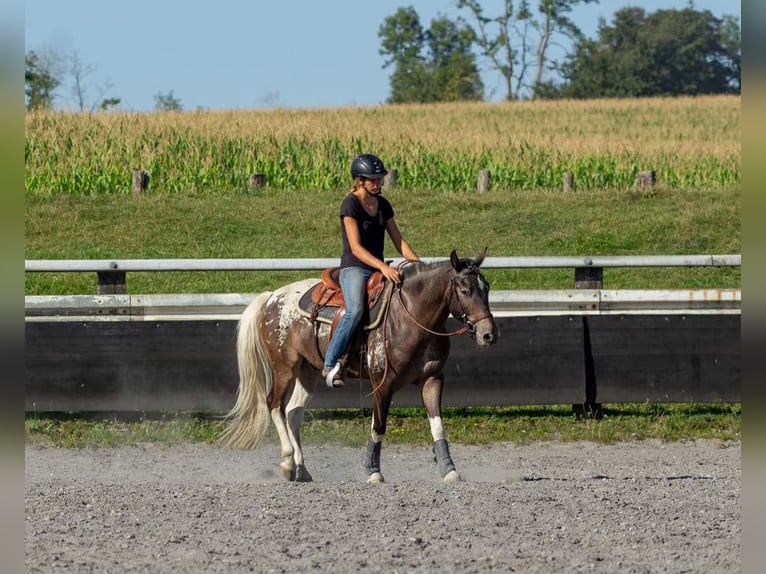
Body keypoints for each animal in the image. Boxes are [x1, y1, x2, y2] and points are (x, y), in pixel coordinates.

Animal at [219, 250, 500, 484]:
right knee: (274, 404)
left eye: (486, 288)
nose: (489, 335)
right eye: (464, 290)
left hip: (308, 370)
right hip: (284, 367)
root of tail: (270, 298)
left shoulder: (432, 379)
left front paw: (449, 469)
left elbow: (437, 425)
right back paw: (288, 463)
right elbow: (378, 427)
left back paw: (302, 469)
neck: (411, 317)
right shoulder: (382, 383)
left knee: (293, 412)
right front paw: (373, 471)